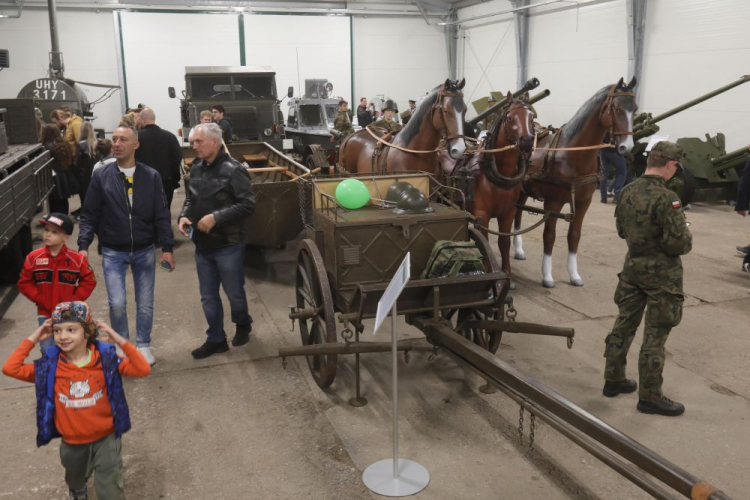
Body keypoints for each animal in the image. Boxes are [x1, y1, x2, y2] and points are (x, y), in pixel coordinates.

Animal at [516, 76, 636, 288]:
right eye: (616, 108)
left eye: (635, 108)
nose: (626, 146)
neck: (572, 153)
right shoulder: (553, 202)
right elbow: (549, 235)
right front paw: (547, 276)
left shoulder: (583, 202)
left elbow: (574, 235)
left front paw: (574, 275)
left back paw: (518, 250)